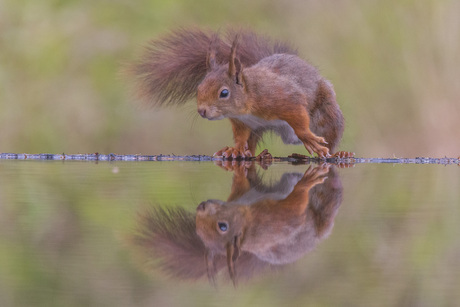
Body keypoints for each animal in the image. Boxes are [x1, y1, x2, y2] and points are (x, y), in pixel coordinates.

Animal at [134, 28, 352, 159]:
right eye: (198, 88)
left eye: (224, 93)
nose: (202, 111)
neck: (249, 100)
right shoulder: (242, 122)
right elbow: (240, 136)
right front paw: (236, 148)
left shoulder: (286, 99)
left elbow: (299, 119)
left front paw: (308, 138)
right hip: (258, 129)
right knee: (252, 144)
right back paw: (255, 154)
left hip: (327, 114)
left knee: (331, 137)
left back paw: (337, 154)